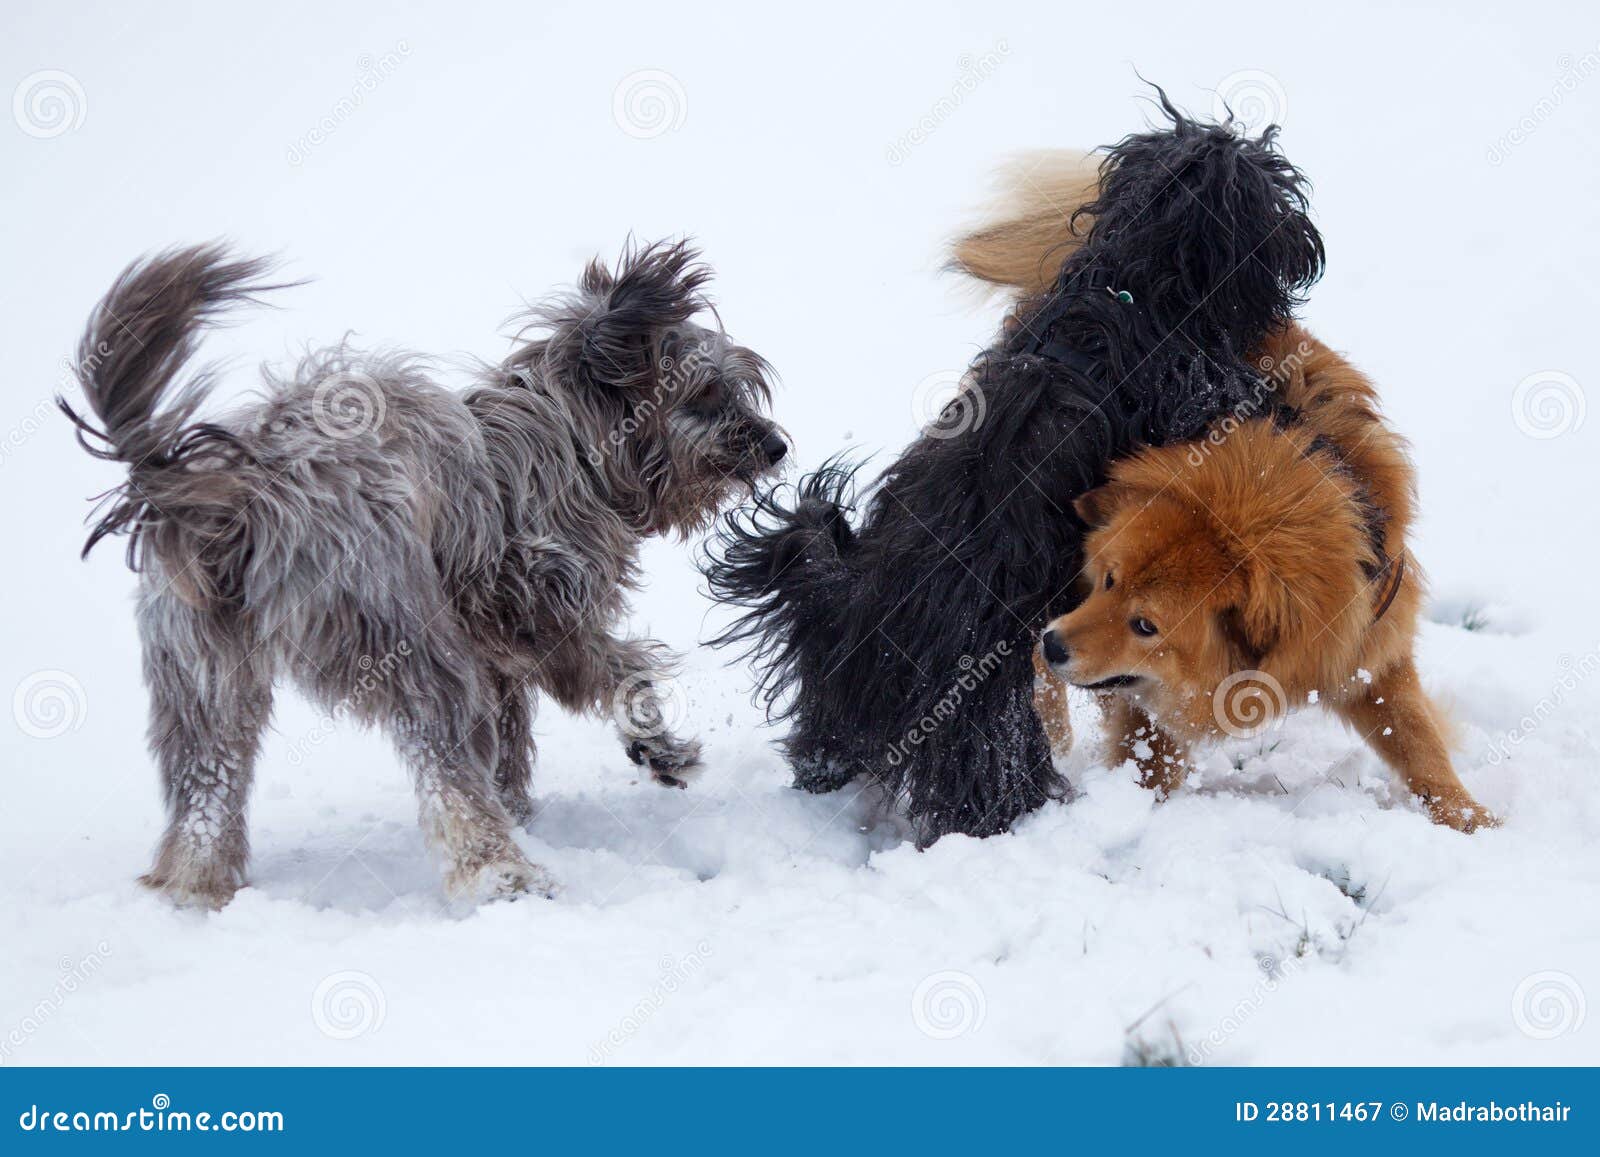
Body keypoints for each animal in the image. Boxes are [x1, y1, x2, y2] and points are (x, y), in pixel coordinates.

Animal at [62, 244, 787, 908]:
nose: (776, 445)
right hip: (406, 643)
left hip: (202, 682)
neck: (573, 441)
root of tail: (236, 495)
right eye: (704, 393)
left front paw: (524, 804)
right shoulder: (533, 600)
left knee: (204, 793)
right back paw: (504, 875)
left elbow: (514, 740)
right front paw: (657, 747)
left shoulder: (496, 652)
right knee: (445, 770)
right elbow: (616, 669)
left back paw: (196, 887)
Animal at [707, 95, 1318, 844]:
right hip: (979, 722)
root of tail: (853, 616)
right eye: (1274, 187)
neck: (1130, 286)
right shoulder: (1196, 393)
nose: (1307, 242)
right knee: (987, 785)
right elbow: (1243, 401)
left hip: (834, 711)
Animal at [960, 151, 1497, 832]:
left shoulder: (1368, 652)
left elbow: (1419, 743)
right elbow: (1148, 756)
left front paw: (1471, 820)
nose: (1056, 645)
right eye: (1106, 580)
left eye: (1145, 624)